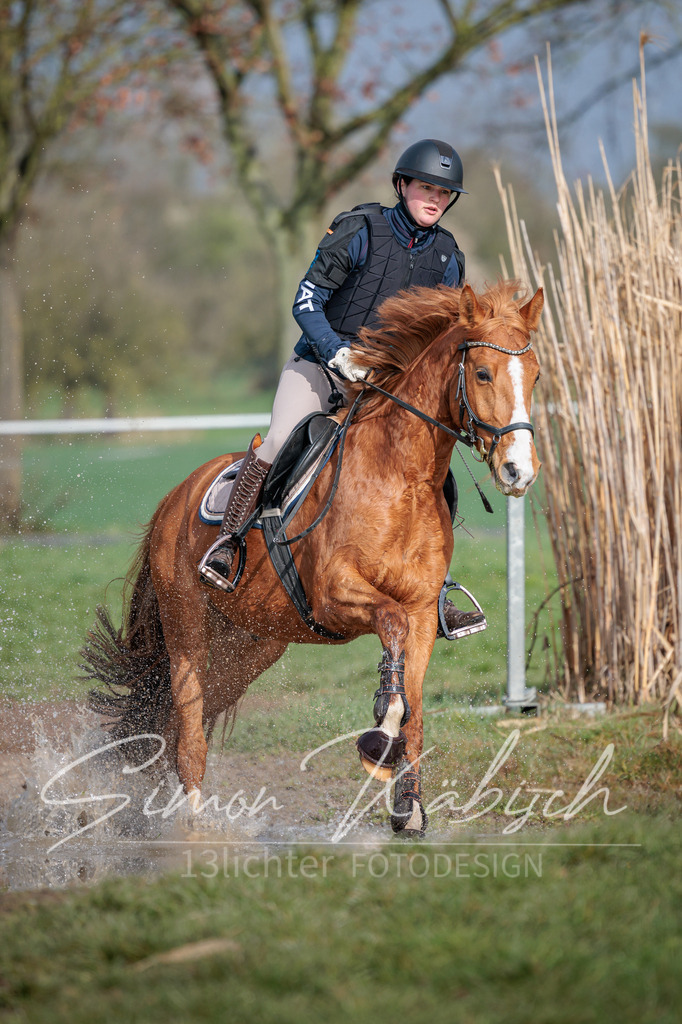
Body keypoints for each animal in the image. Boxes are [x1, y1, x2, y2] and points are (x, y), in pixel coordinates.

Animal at [84, 280, 543, 837]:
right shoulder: (335, 595)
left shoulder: (422, 614)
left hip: (253, 645)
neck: (403, 478)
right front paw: (379, 736)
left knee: (176, 724)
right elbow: (390, 635)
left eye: (536, 374)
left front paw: (407, 808)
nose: (519, 471)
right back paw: (192, 828)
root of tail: (174, 497)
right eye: (482, 373)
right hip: (186, 624)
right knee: (190, 732)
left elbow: (415, 712)